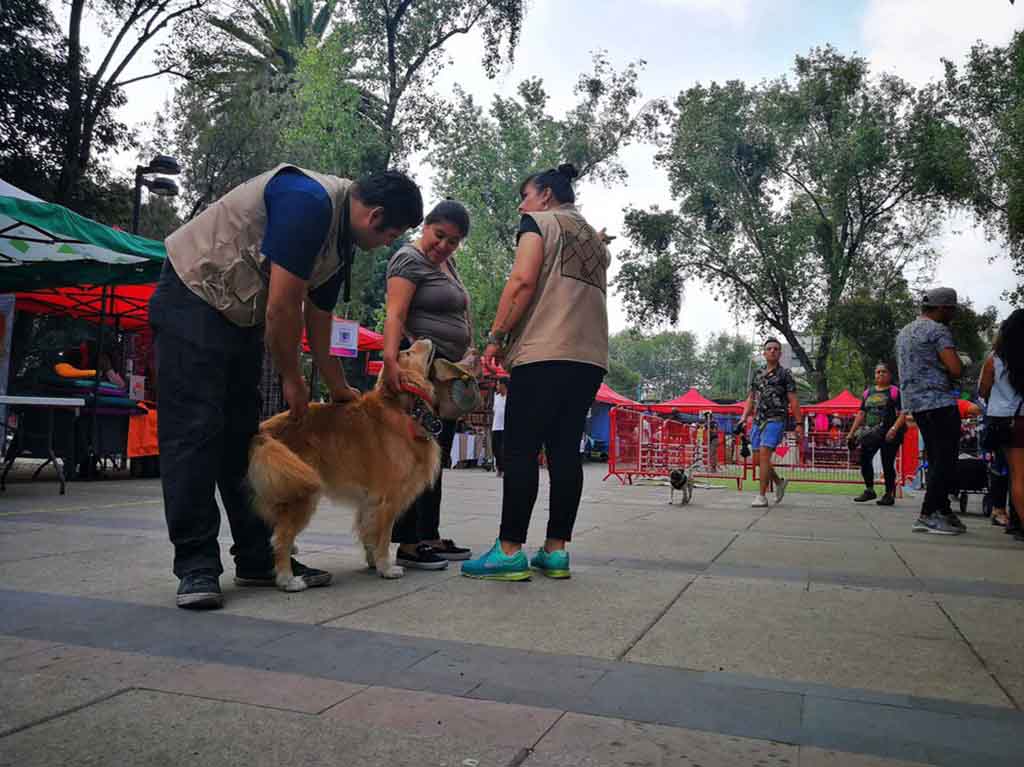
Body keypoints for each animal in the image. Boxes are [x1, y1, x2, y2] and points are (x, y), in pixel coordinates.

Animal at [248, 337, 444, 589]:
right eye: (408, 353)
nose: (422, 338)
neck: (403, 408)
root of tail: (264, 432)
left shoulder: (369, 501)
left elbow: (368, 532)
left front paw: (373, 562)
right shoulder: (387, 499)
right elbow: (383, 536)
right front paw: (386, 567)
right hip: (302, 493)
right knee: (281, 539)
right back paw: (288, 579)